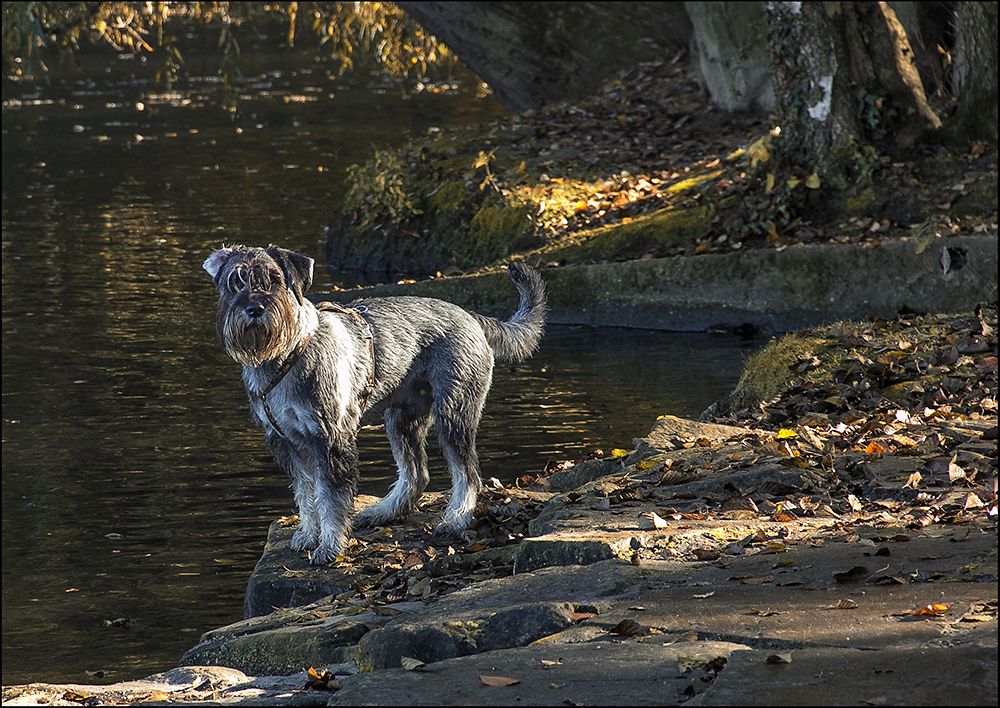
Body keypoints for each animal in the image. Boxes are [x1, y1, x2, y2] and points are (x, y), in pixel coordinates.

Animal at [204, 245, 548, 564]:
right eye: (235, 282)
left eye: (275, 279)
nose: (255, 308)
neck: (287, 354)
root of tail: (471, 316)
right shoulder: (288, 441)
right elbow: (306, 492)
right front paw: (308, 534)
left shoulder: (330, 439)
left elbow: (330, 497)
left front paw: (330, 546)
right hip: (402, 419)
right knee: (416, 473)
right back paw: (384, 512)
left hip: (453, 414)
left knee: (467, 473)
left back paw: (456, 519)